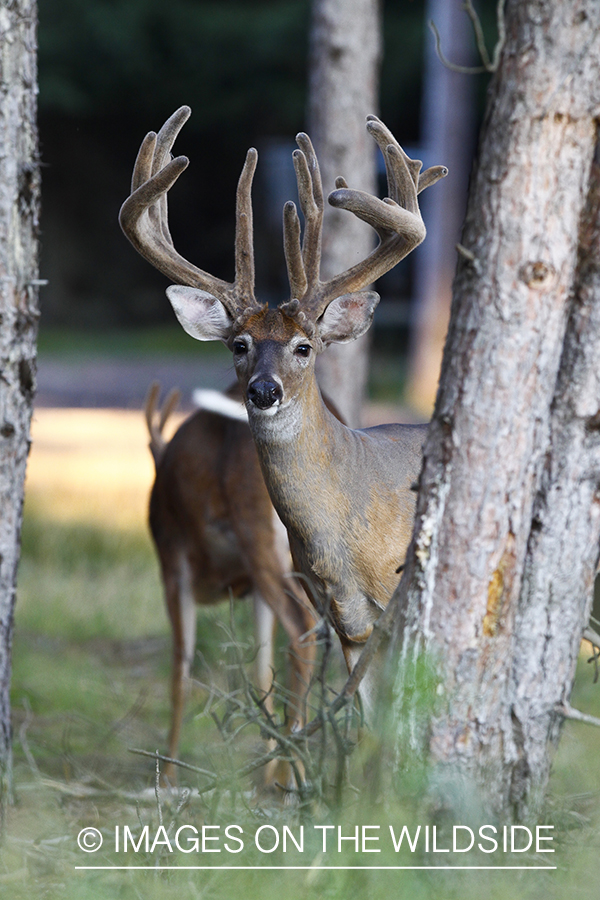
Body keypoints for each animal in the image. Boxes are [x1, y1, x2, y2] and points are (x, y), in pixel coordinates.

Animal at [144, 380, 319, 790]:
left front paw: (168, 775)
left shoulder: (173, 565)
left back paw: (292, 775)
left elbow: (180, 672)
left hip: (257, 533)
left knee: (303, 626)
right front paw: (264, 767)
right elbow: (261, 671)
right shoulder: (251, 588)